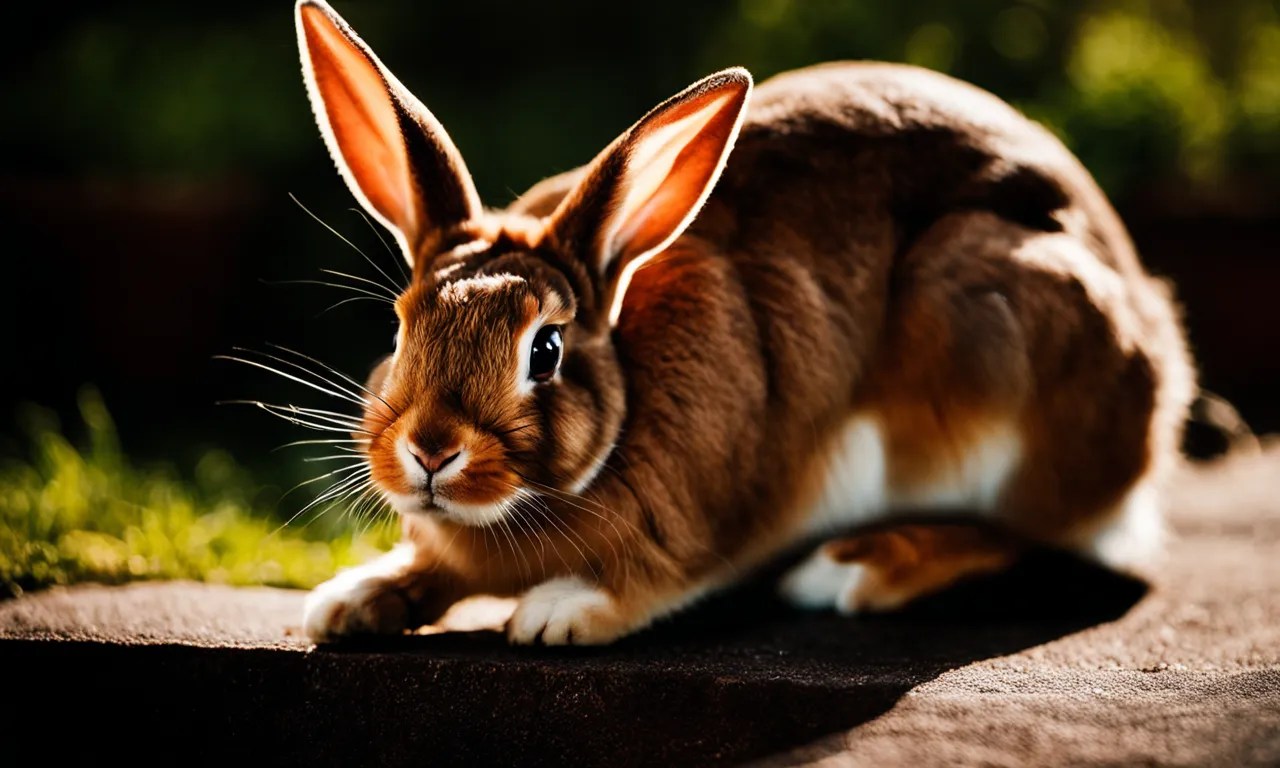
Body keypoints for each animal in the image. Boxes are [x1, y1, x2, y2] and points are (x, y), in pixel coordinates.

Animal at [295, 0, 1195, 646]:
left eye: (543, 350)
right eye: (400, 327)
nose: (430, 450)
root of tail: (1161, 382)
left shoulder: (713, 521)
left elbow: (650, 581)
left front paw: (557, 612)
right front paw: (349, 600)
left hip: (999, 371)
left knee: (1050, 539)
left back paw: (850, 568)